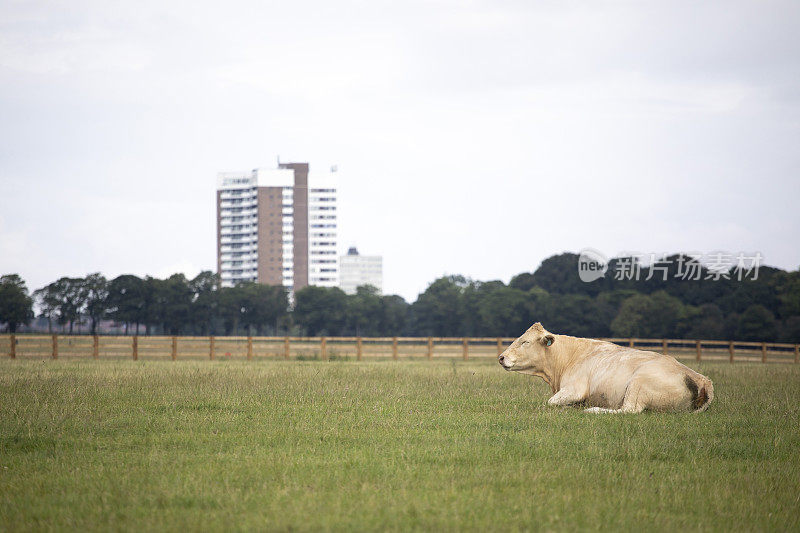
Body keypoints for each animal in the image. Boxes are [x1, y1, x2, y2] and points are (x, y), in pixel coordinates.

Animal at [496, 320, 716, 412]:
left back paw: (593, 410)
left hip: (638, 383)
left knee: (629, 410)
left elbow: (551, 402)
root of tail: (700, 378)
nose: (501, 357)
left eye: (525, 341)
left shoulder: (574, 389)